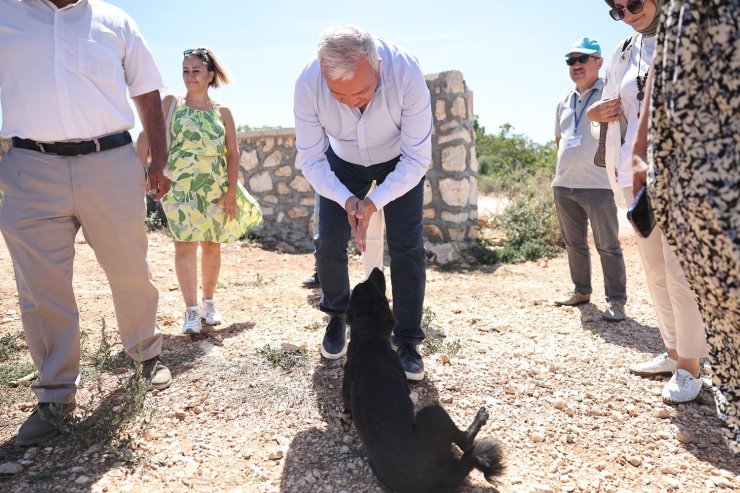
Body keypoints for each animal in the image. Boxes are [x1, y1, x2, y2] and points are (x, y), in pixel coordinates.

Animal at [342, 270, 502, 492]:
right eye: (374, 283)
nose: (376, 270)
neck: (367, 339)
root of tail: (436, 481)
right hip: (433, 413)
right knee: (465, 441)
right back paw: (480, 417)